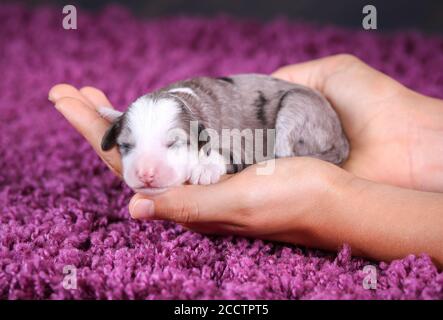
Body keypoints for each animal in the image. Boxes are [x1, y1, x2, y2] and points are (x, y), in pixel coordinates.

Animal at [99, 74, 348, 195]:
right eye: (126, 146)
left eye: (173, 144)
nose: (145, 174)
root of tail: (341, 139)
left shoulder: (243, 141)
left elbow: (226, 153)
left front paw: (205, 168)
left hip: (297, 107)